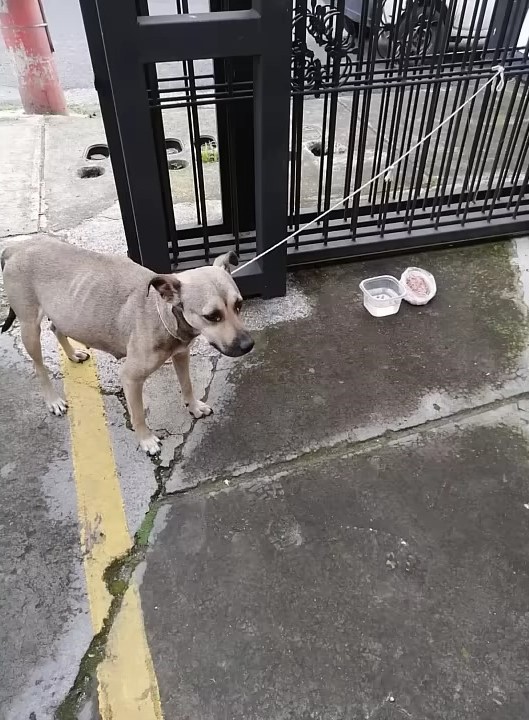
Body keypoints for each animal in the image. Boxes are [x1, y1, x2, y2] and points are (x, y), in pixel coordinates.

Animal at [0, 239, 252, 452]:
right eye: (212, 316)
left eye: (239, 305)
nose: (249, 345)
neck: (163, 313)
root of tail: (15, 247)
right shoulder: (131, 378)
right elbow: (138, 414)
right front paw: (146, 439)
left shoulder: (181, 355)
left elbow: (187, 385)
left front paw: (194, 406)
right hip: (30, 329)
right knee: (39, 367)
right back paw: (53, 400)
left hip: (66, 315)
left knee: (56, 329)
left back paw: (72, 355)